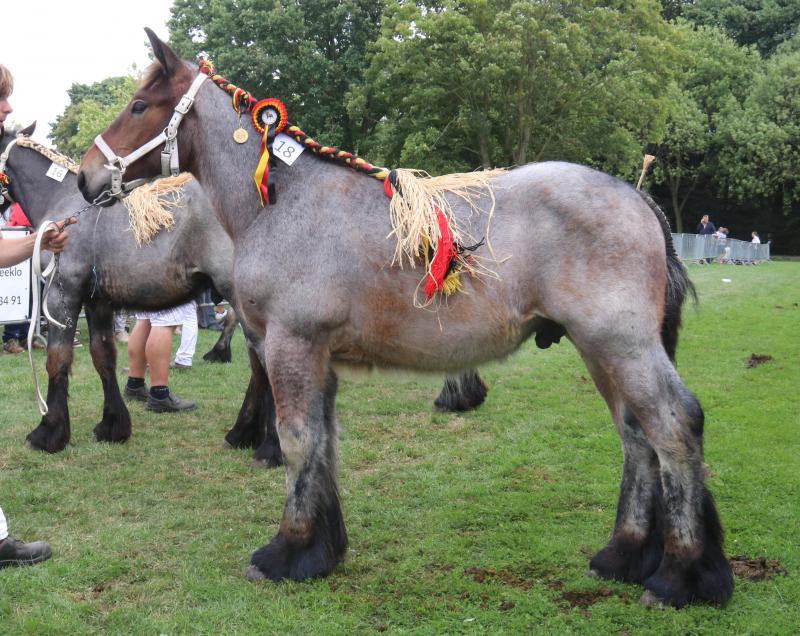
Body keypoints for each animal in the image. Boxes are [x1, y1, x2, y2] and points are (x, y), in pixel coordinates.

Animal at [78, 32, 736, 608]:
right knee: (636, 433)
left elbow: (297, 440)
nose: (86, 176)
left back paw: (679, 576)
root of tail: (637, 196)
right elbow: (324, 442)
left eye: (139, 105)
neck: (285, 203)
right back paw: (624, 555)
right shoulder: (316, 357)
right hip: (602, 350)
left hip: (621, 344)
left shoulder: (291, 346)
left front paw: (287, 552)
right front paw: (322, 550)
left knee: (673, 425)